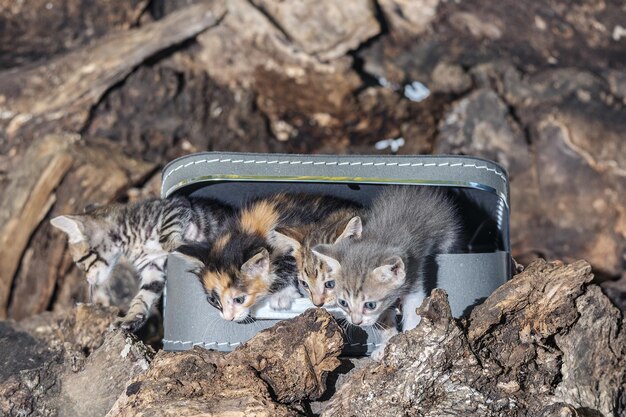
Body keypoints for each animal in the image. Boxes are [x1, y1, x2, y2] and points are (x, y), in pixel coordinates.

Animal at [50, 196, 232, 332]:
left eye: (80, 264)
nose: (88, 281)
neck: (130, 239)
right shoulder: (152, 267)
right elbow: (142, 296)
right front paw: (131, 317)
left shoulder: (175, 205)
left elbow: (166, 236)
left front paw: (177, 245)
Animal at [178, 193, 358, 320]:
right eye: (213, 300)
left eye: (239, 300)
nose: (229, 318)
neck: (249, 231)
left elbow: (291, 262)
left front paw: (282, 295)